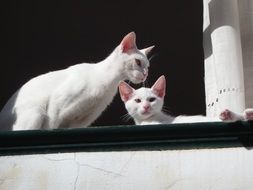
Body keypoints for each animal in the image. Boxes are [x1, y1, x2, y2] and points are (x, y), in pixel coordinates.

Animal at [0, 31, 154, 130]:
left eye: (147, 67)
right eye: (138, 62)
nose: (145, 75)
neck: (107, 85)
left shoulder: (82, 121)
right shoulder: (56, 107)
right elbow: (51, 127)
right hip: (37, 112)